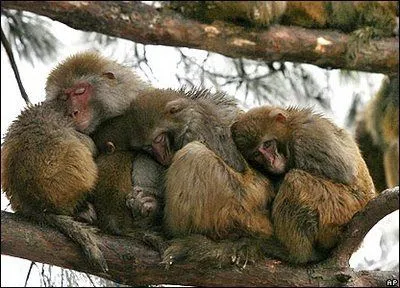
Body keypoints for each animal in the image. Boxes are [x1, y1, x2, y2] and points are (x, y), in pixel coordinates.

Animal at [231, 106, 378, 264]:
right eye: (257, 154)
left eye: (267, 144)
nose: (271, 161)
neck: (290, 129)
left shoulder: (309, 135)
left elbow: (344, 172)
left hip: (342, 210)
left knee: (296, 180)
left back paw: (295, 254)